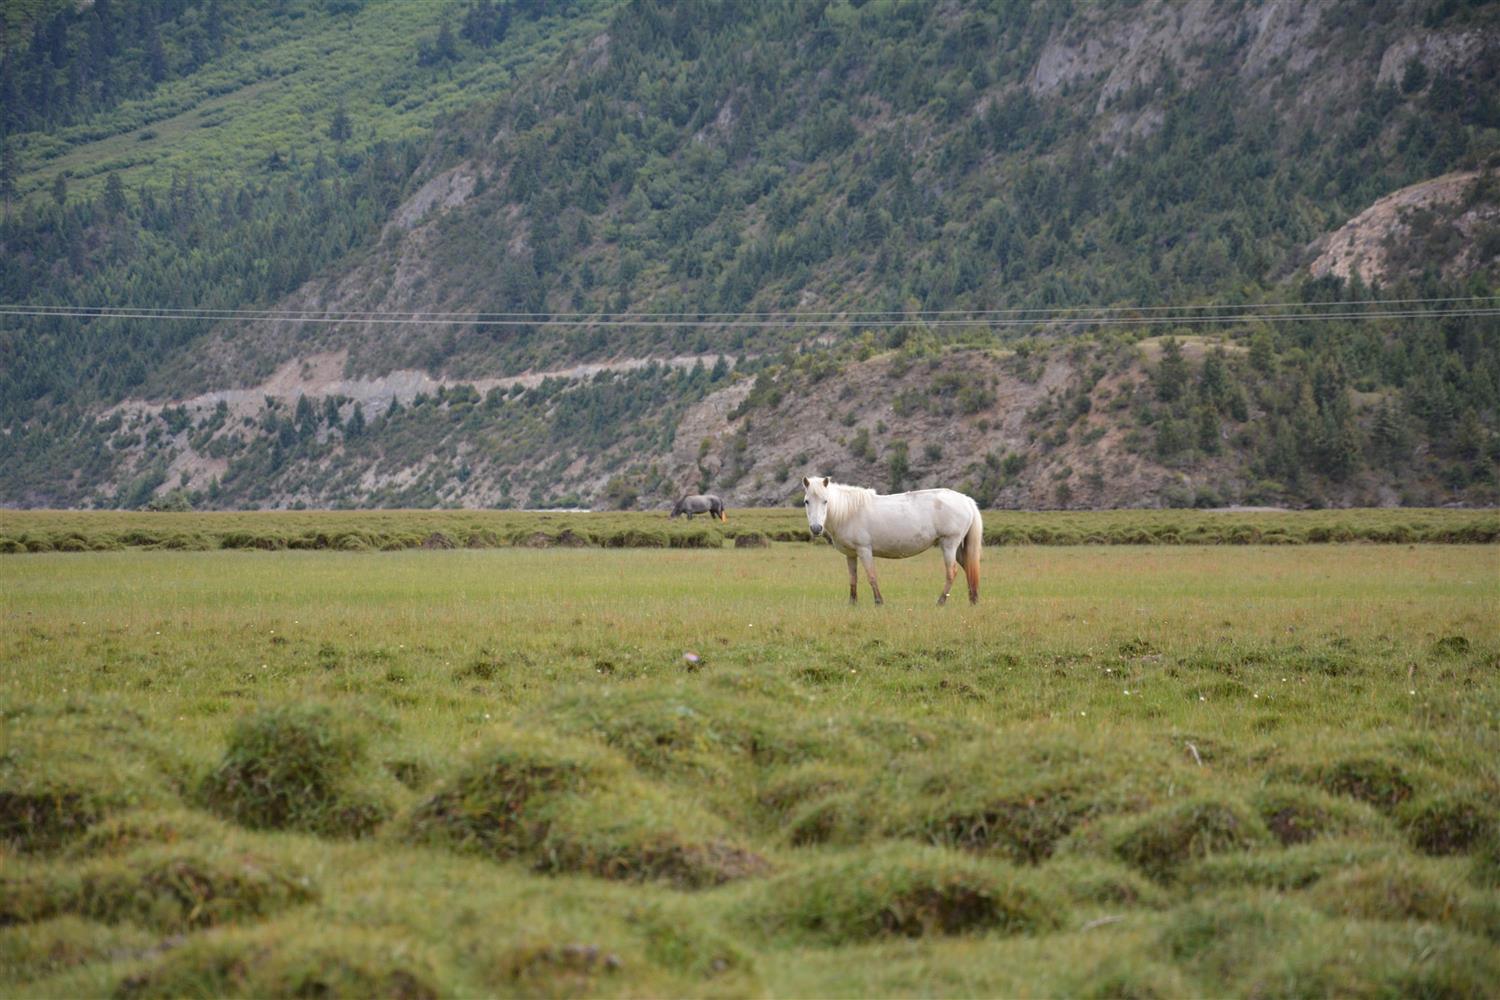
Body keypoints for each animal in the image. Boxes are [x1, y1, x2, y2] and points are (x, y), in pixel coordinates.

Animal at [798, 479, 984, 611]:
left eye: (825, 501)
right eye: (806, 501)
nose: (816, 528)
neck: (849, 512)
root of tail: (966, 500)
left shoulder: (864, 550)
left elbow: (871, 576)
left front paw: (879, 602)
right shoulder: (850, 554)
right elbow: (853, 578)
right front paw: (852, 603)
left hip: (949, 544)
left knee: (952, 572)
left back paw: (941, 602)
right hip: (958, 548)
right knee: (968, 567)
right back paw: (973, 600)